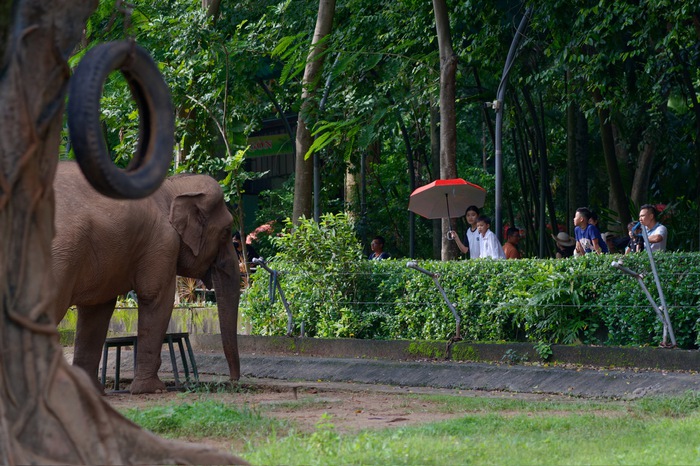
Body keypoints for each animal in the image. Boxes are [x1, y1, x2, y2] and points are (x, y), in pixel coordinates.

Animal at [52, 161, 241, 394]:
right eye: (226, 231)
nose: (233, 381)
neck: (171, 187)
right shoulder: (163, 243)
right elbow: (157, 298)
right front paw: (152, 389)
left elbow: (97, 310)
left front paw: (91, 390)